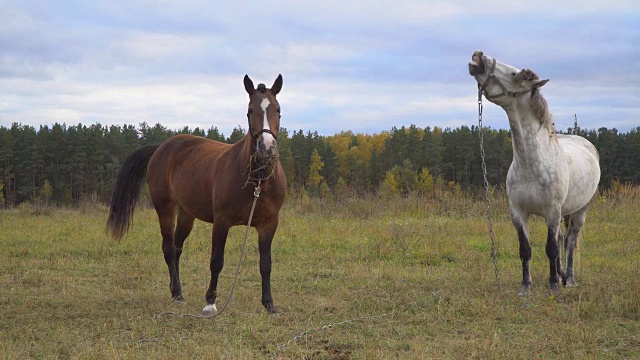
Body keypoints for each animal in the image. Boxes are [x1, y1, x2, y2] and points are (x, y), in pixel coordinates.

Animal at [106, 74, 286, 314]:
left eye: (278, 109)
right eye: (249, 111)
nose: (267, 147)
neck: (258, 180)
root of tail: (161, 148)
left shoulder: (269, 224)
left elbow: (266, 264)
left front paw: (269, 304)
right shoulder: (221, 222)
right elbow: (216, 261)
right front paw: (210, 302)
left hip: (186, 214)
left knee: (177, 248)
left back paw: (175, 290)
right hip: (165, 209)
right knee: (168, 248)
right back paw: (178, 293)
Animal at [470, 50, 600, 296]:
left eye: (515, 74)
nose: (479, 56)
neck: (531, 163)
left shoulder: (552, 211)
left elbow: (551, 248)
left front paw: (553, 287)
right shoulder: (518, 213)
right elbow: (525, 249)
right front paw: (525, 288)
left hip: (580, 210)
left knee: (569, 242)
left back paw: (568, 279)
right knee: (562, 238)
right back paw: (561, 275)